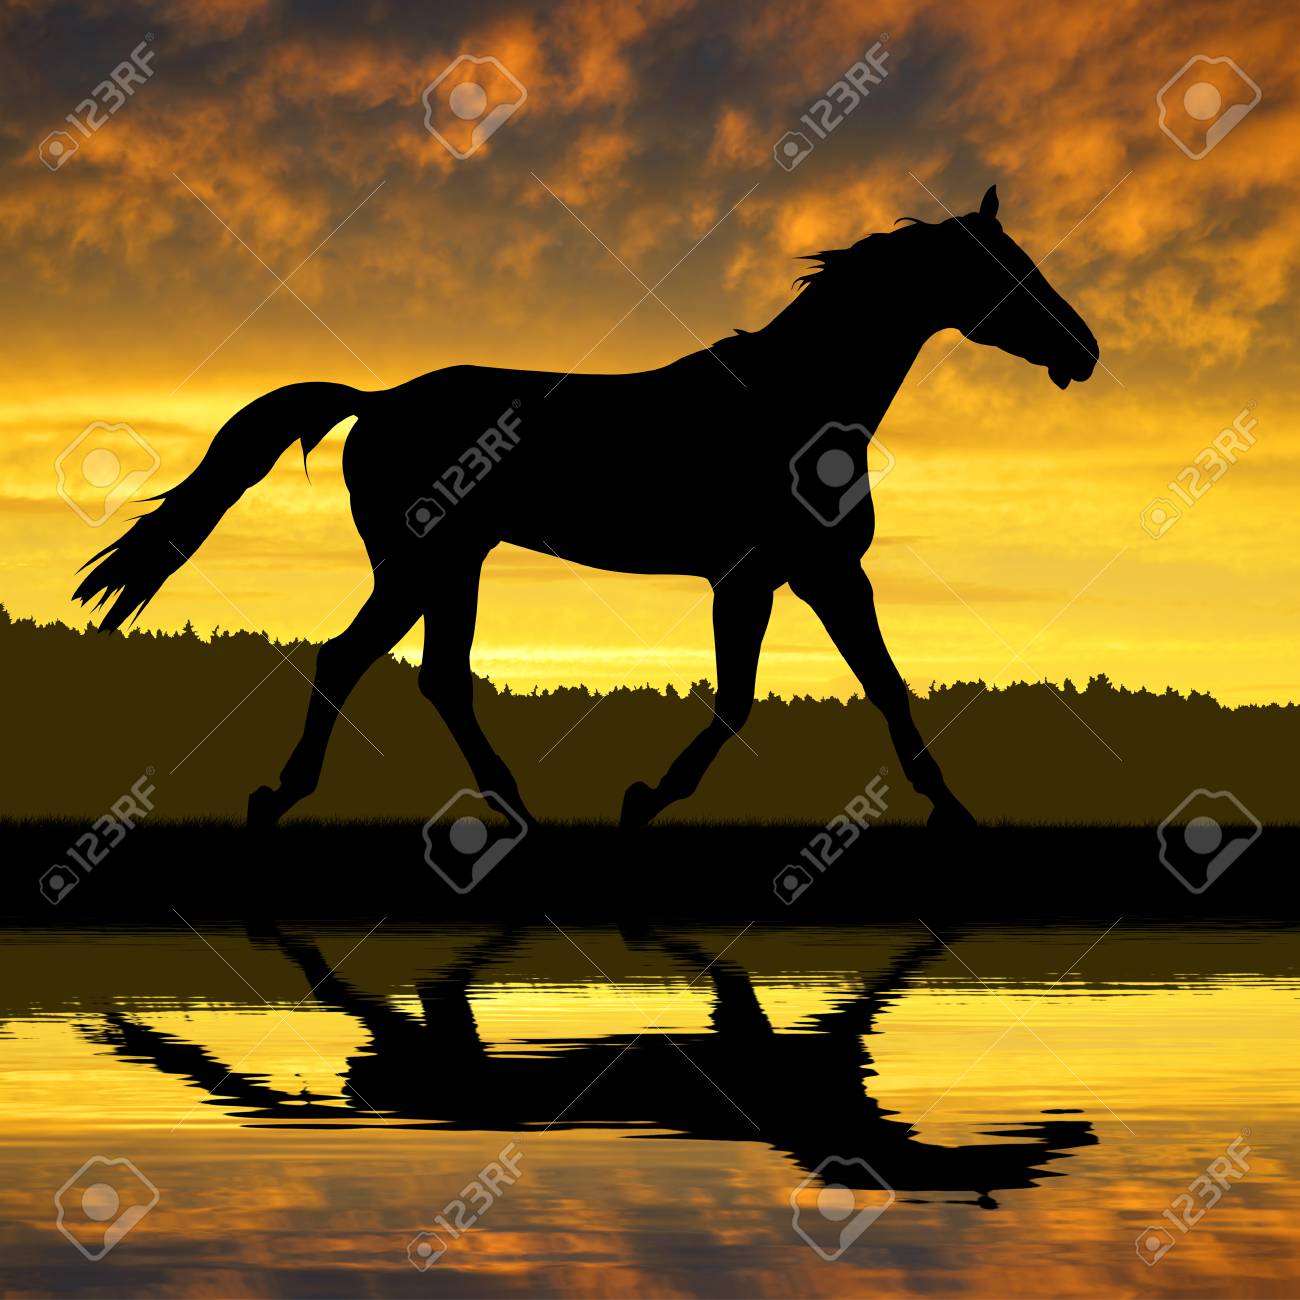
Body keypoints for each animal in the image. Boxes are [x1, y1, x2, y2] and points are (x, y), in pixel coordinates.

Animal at [74, 184, 1098, 829]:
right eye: (1006, 272)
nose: (1083, 352)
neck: (794, 399)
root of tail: (377, 401)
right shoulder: (770, 575)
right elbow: (745, 700)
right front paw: (644, 798)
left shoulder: (810, 574)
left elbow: (875, 686)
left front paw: (956, 810)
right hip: (425, 561)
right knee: (360, 660)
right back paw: (306, 797)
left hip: (449, 564)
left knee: (427, 674)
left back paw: (505, 805)